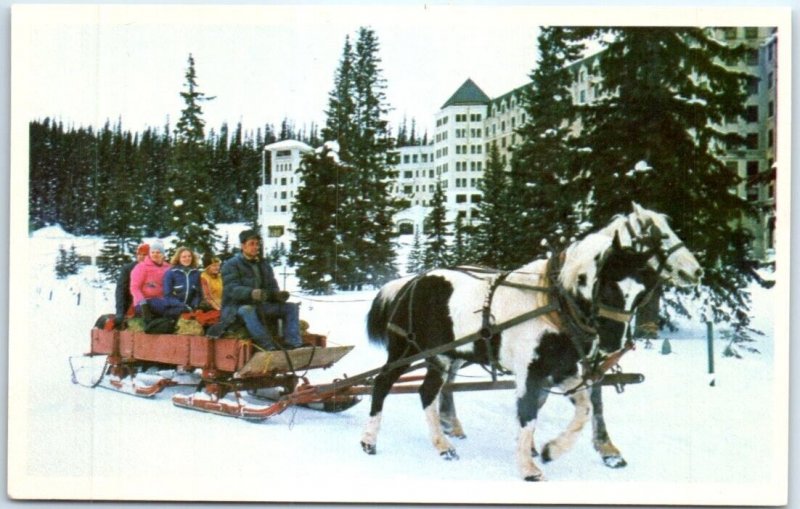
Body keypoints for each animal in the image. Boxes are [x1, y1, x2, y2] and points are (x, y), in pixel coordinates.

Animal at [360, 203, 700, 480]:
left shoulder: (563, 370)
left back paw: (444, 444)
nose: (695, 270)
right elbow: (528, 413)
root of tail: (412, 282)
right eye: (607, 287)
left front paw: (552, 450)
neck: (553, 305)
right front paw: (528, 467)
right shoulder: (530, 371)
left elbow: (584, 408)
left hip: (443, 357)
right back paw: (369, 440)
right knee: (383, 383)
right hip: (405, 350)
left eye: (638, 293)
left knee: (428, 392)